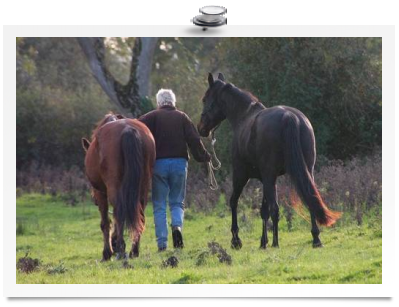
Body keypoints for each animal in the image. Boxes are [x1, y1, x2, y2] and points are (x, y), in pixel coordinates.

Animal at [82, 113, 155, 262]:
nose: (94, 200)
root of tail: (128, 129)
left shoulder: (101, 193)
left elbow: (106, 222)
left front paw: (108, 252)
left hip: (113, 188)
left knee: (119, 213)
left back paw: (121, 250)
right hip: (143, 187)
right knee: (140, 216)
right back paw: (134, 250)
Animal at [198, 73, 342, 251]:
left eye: (205, 99)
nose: (201, 128)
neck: (244, 116)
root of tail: (289, 117)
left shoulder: (242, 175)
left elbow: (235, 202)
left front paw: (236, 240)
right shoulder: (266, 178)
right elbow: (264, 210)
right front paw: (262, 242)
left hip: (265, 176)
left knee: (275, 209)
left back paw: (275, 242)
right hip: (305, 171)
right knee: (310, 199)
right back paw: (315, 239)